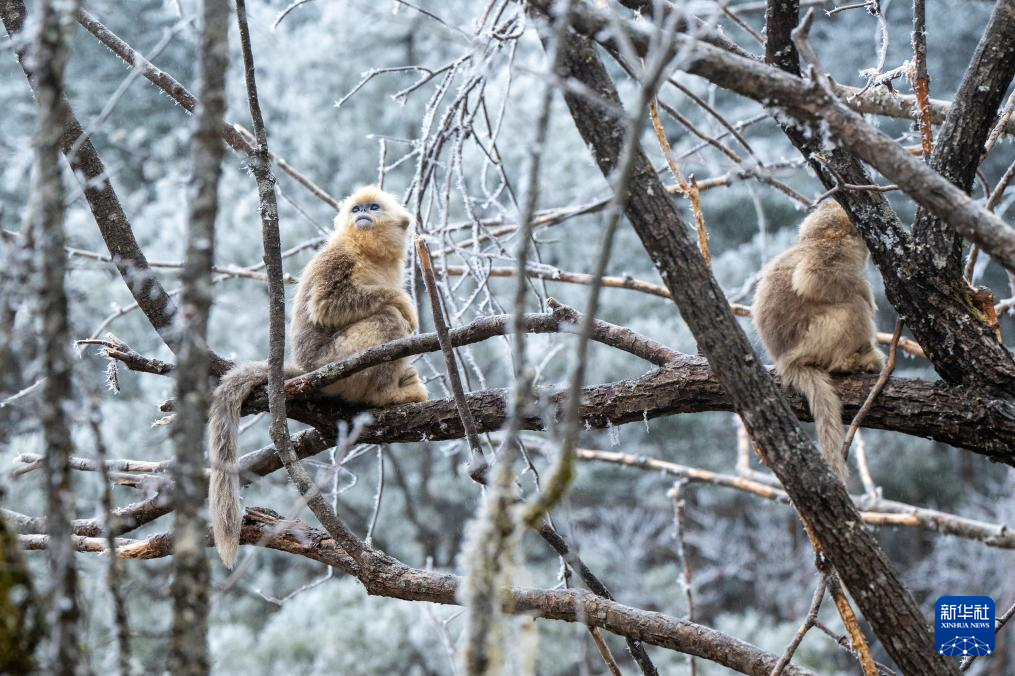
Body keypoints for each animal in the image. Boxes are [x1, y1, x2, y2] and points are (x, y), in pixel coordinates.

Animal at [208, 185, 428, 568]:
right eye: (357, 209)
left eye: (374, 207)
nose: (362, 215)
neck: (367, 252)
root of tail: (305, 369)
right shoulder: (338, 258)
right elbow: (329, 305)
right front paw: (403, 301)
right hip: (335, 364)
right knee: (387, 318)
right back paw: (386, 394)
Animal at [753, 199, 884, 482]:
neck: (822, 237)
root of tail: (786, 361)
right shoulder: (831, 253)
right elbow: (812, 278)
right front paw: (865, 292)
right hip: (817, 337)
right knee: (852, 306)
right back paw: (849, 362)